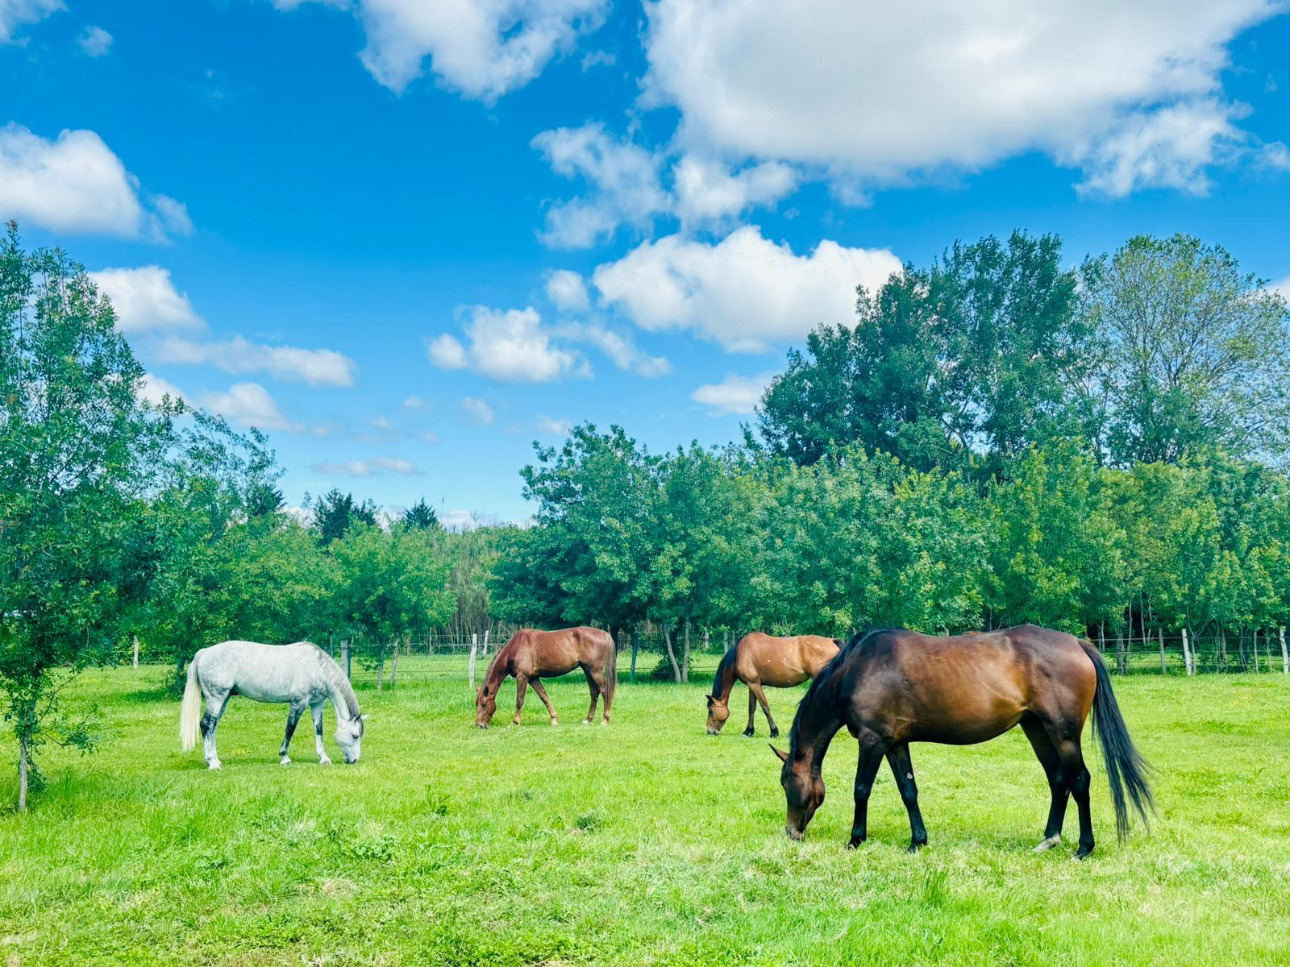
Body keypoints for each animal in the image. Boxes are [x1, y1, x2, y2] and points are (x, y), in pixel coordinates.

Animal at [179, 644, 366, 773]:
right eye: (355, 735)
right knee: (206, 725)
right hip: (216, 698)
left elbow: (319, 730)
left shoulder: (317, 703)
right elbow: (289, 729)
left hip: (223, 699)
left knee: (213, 726)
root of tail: (203, 653)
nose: (354, 760)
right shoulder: (298, 702)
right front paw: (284, 758)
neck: (317, 667)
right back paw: (212, 763)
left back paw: (214, 760)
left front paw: (324, 758)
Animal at [477, 629, 616, 727]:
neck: (516, 648)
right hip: (587, 670)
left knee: (604, 692)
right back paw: (588, 719)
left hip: (595, 671)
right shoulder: (533, 678)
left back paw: (605, 719)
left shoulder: (523, 677)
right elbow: (544, 697)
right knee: (594, 692)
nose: (479, 725)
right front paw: (554, 719)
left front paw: (515, 721)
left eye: (484, 704)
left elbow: (519, 700)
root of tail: (604, 634)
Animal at [701, 631, 841, 737]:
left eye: (711, 711)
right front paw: (748, 731)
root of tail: (833, 641)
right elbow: (751, 708)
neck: (739, 653)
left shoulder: (754, 684)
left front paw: (774, 731)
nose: (709, 731)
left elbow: (765, 707)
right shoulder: (752, 685)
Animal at [768, 624, 1155, 861]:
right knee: (1059, 781)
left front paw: (855, 840)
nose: (791, 832)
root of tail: (1077, 643)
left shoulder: (873, 741)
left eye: (787, 784)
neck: (858, 669)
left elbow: (861, 789)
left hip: (1062, 733)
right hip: (1037, 729)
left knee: (1080, 781)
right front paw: (917, 842)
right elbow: (909, 791)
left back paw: (1084, 848)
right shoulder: (895, 743)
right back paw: (1048, 839)